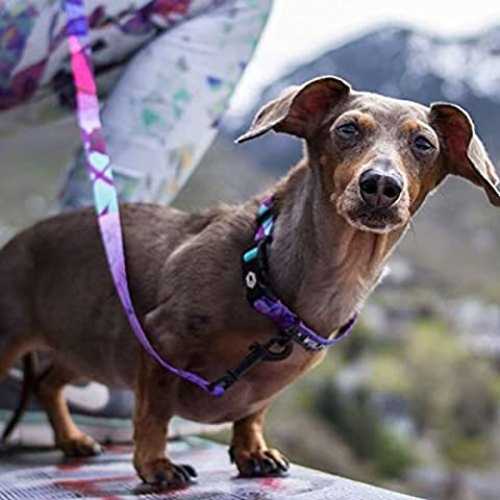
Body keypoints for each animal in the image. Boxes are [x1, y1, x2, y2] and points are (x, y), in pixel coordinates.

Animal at [0, 76, 499, 487]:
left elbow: (252, 413)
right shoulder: (162, 338)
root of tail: (16, 241)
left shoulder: (267, 382)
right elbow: (155, 412)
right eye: (347, 130)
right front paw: (155, 465)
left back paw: (70, 438)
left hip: (85, 347)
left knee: (47, 384)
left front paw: (251, 452)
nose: (380, 185)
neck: (269, 272)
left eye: (423, 143)